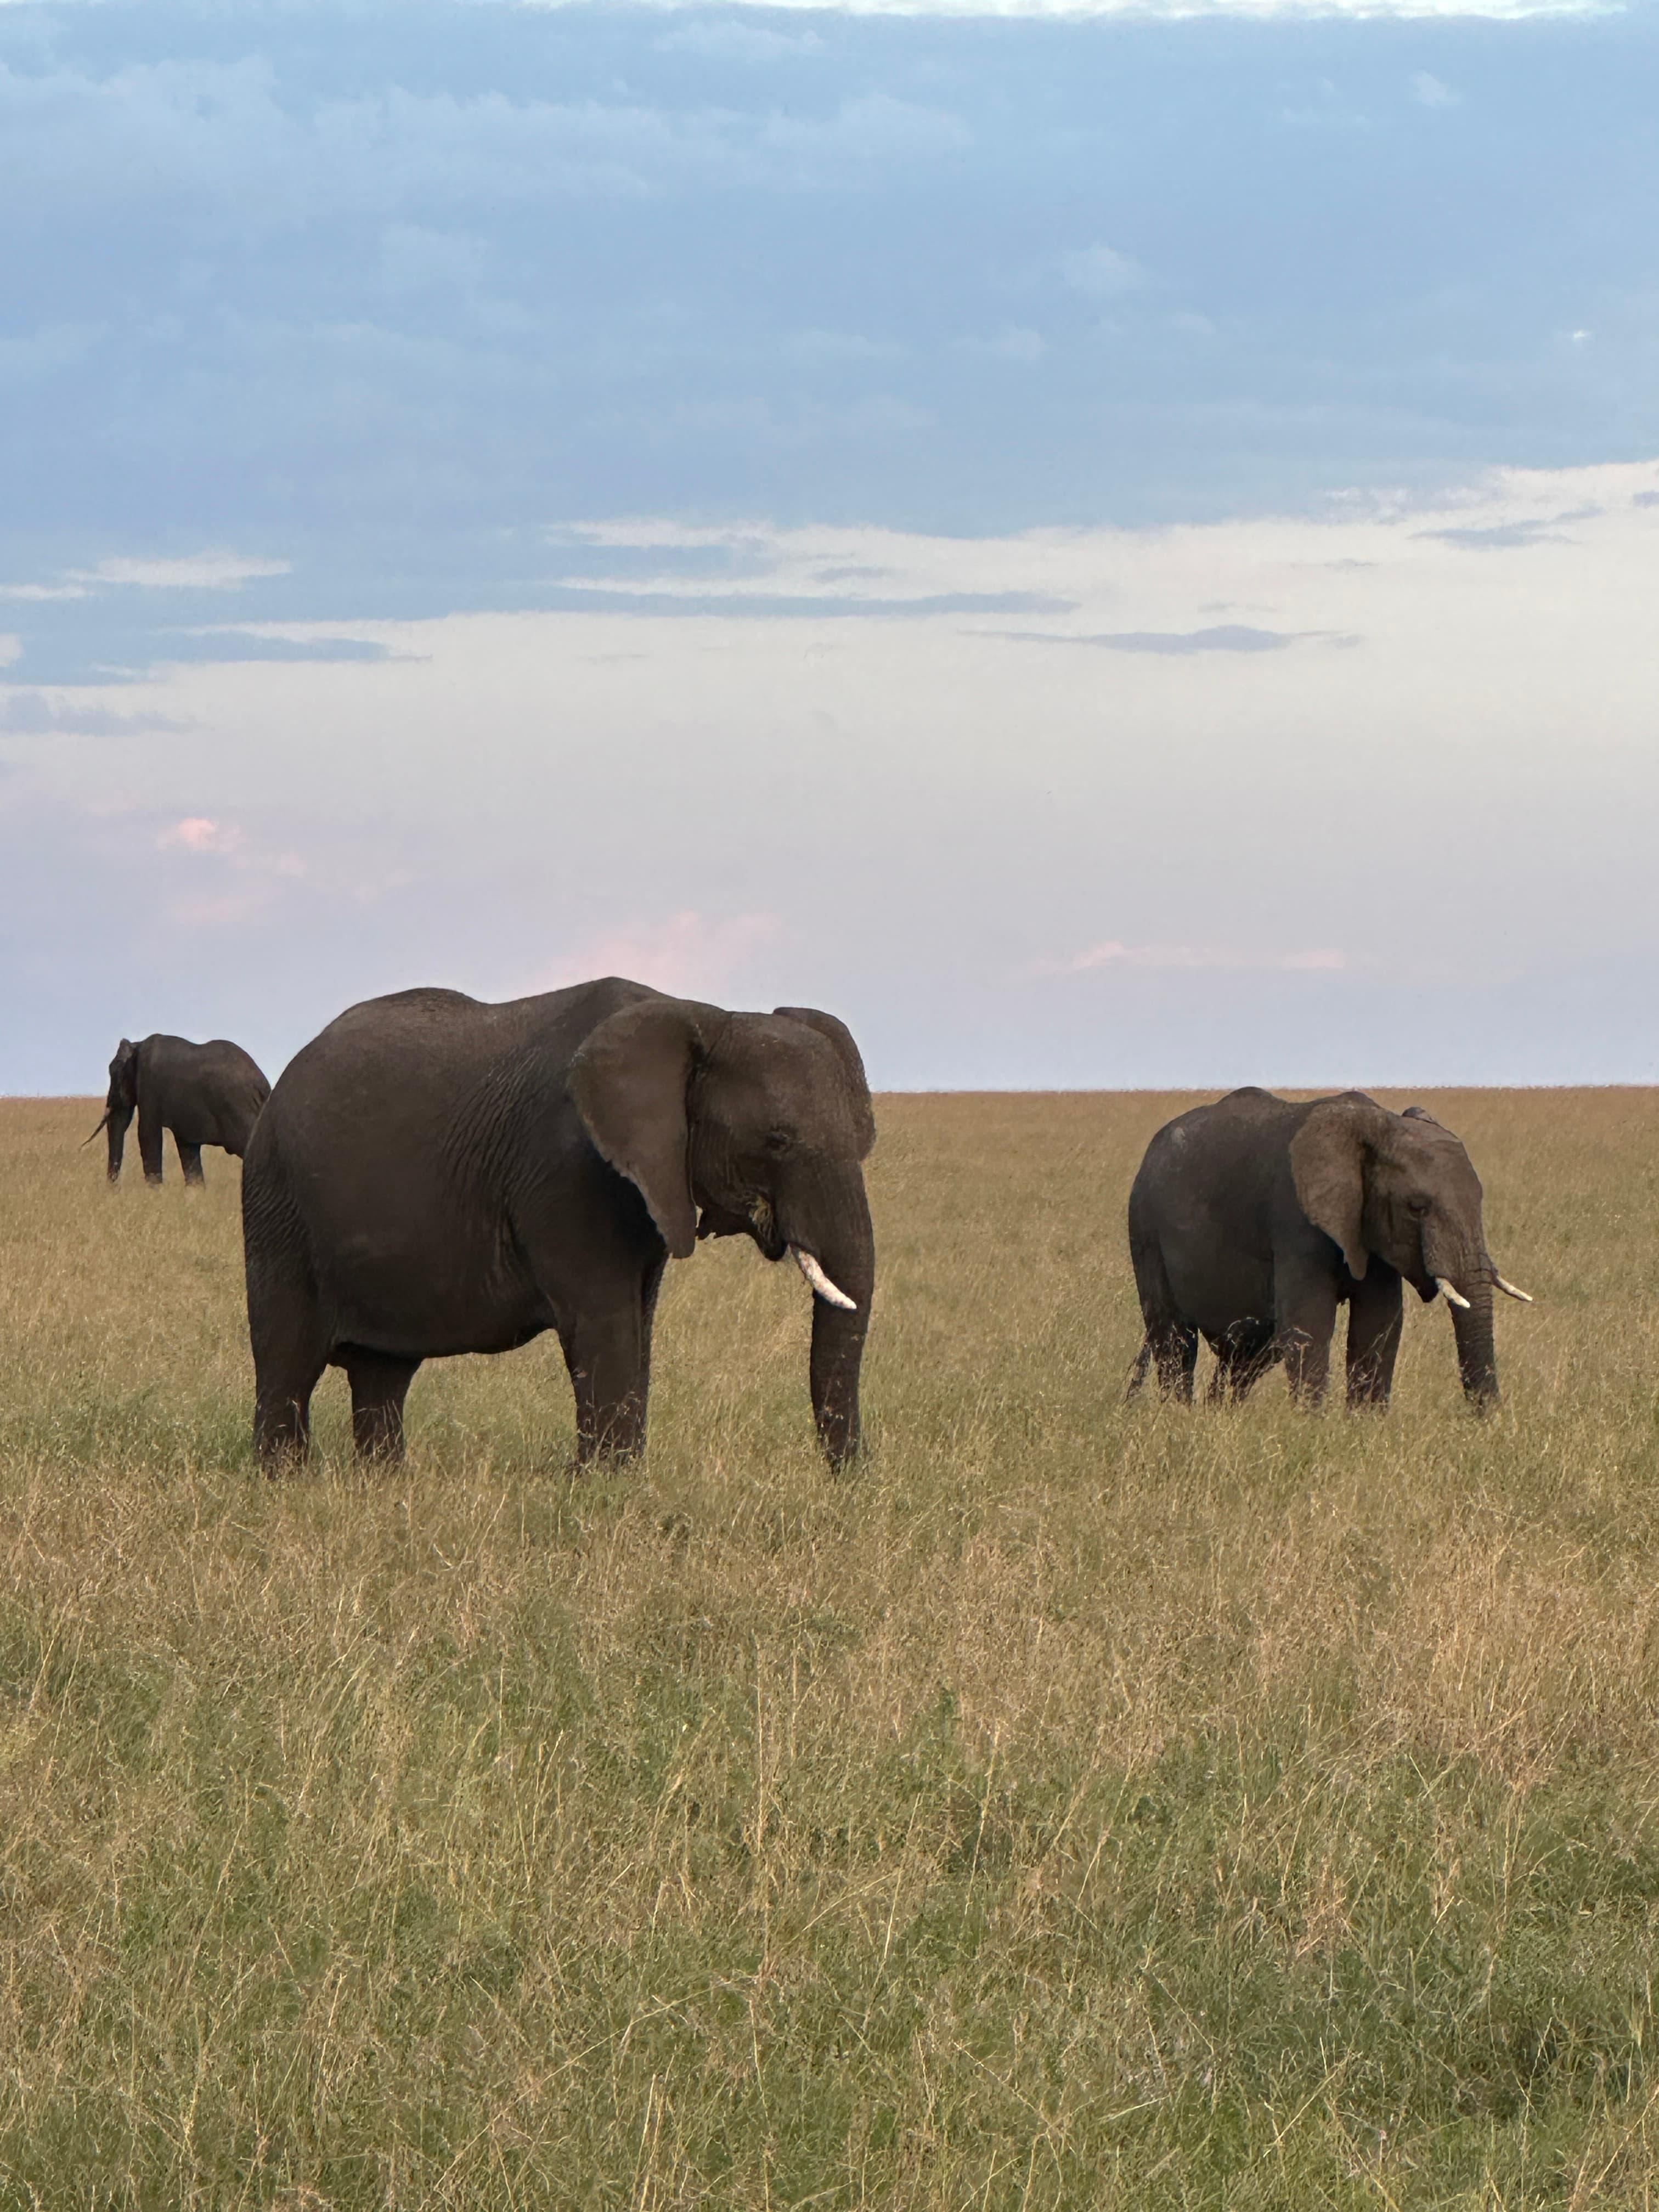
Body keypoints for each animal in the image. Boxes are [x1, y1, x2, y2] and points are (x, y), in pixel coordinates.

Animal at [89, 1034, 271, 1186]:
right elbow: (187, 1149)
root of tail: (262, 1084)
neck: (137, 1046)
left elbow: (147, 1134)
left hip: (239, 1111)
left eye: (115, 1077)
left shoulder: (149, 1085)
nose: (113, 1190)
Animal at [240, 977, 877, 1469]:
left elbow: (639, 1322)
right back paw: (286, 1481)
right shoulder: (566, 1170)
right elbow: (604, 1319)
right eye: (778, 1141)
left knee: (383, 1374)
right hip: (276, 1205)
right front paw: (607, 1487)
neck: (701, 1014)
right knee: (288, 1362)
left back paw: (385, 1484)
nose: (851, 1476)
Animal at [1126, 1088, 1530, 1411]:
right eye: (1416, 1208)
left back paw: (1221, 1417)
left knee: (1245, 1354)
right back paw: (1179, 1416)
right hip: (1145, 1231)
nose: (1488, 1419)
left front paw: (1365, 1426)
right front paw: (1311, 1427)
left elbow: (1378, 1327)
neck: (1376, 1126)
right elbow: (1309, 1327)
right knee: (1175, 1340)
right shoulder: (1296, 1225)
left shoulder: (1369, 1228)